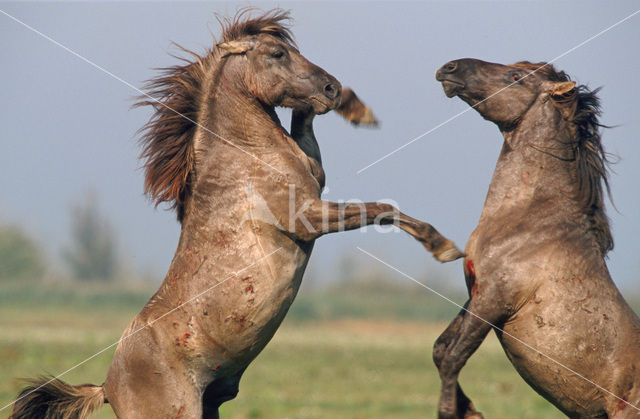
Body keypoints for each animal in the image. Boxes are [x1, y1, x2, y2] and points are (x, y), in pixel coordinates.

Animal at [8, 10, 460, 419]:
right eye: (277, 53)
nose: (332, 88)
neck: (246, 154)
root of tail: (106, 387)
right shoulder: (308, 217)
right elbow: (383, 209)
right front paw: (445, 248)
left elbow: (307, 125)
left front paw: (358, 111)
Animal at [432, 57, 640, 418]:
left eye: (516, 77)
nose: (450, 68)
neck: (528, 222)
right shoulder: (476, 292)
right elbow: (441, 348)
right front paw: (468, 409)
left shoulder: (494, 300)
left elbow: (453, 357)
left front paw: (452, 411)